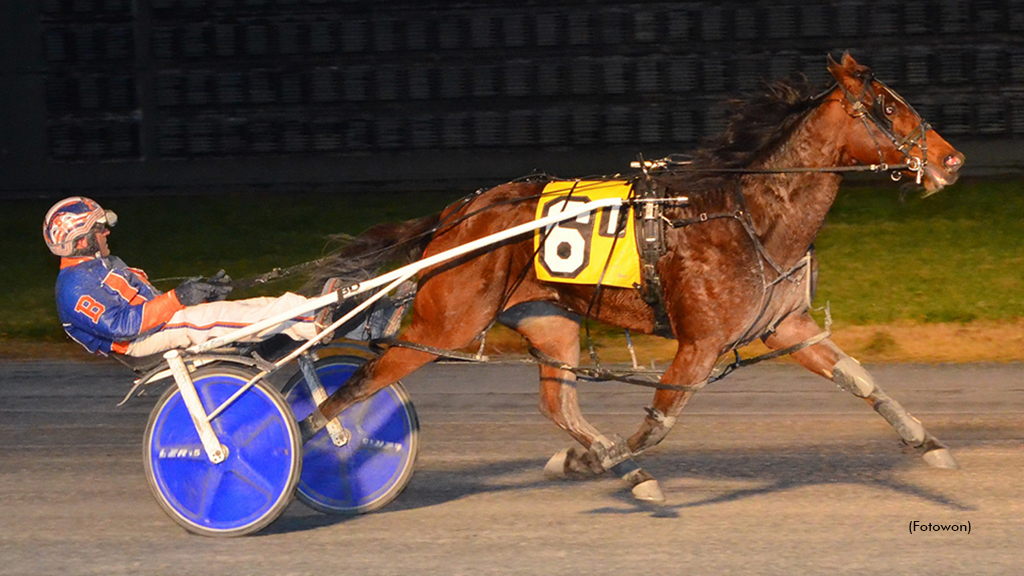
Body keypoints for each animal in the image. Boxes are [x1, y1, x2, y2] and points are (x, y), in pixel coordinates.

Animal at [299, 53, 962, 500]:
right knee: (356, 385)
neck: (749, 213)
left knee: (556, 402)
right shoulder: (700, 343)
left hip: (550, 322)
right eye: (888, 108)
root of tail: (457, 215)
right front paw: (584, 463)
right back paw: (306, 442)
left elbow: (860, 378)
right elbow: (658, 423)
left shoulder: (786, 327)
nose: (951, 159)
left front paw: (926, 444)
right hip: (444, 326)